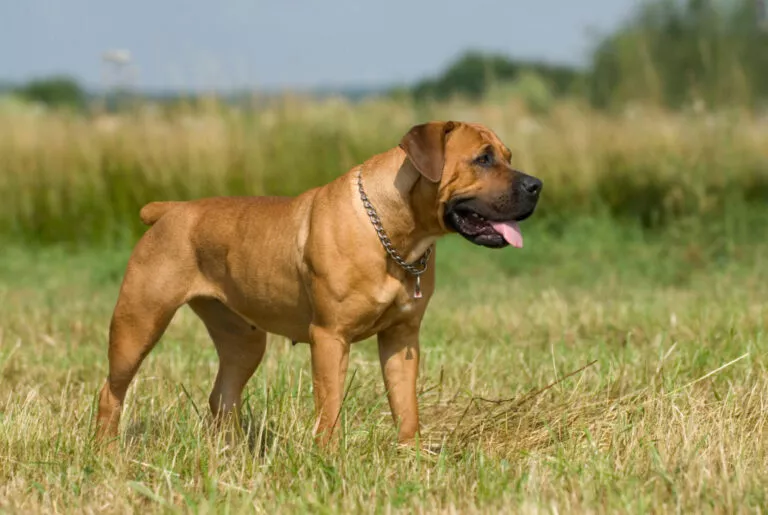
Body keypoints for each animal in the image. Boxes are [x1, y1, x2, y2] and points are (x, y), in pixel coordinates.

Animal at [94, 120, 540, 448]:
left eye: (508, 156)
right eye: (482, 158)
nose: (536, 185)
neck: (393, 232)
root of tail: (170, 210)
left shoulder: (402, 338)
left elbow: (405, 404)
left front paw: (411, 453)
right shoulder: (329, 337)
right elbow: (330, 406)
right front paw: (328, 457)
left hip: (242, 340)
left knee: (222, 395)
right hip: (139, 323)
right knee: (111, 390)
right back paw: (106, 450)